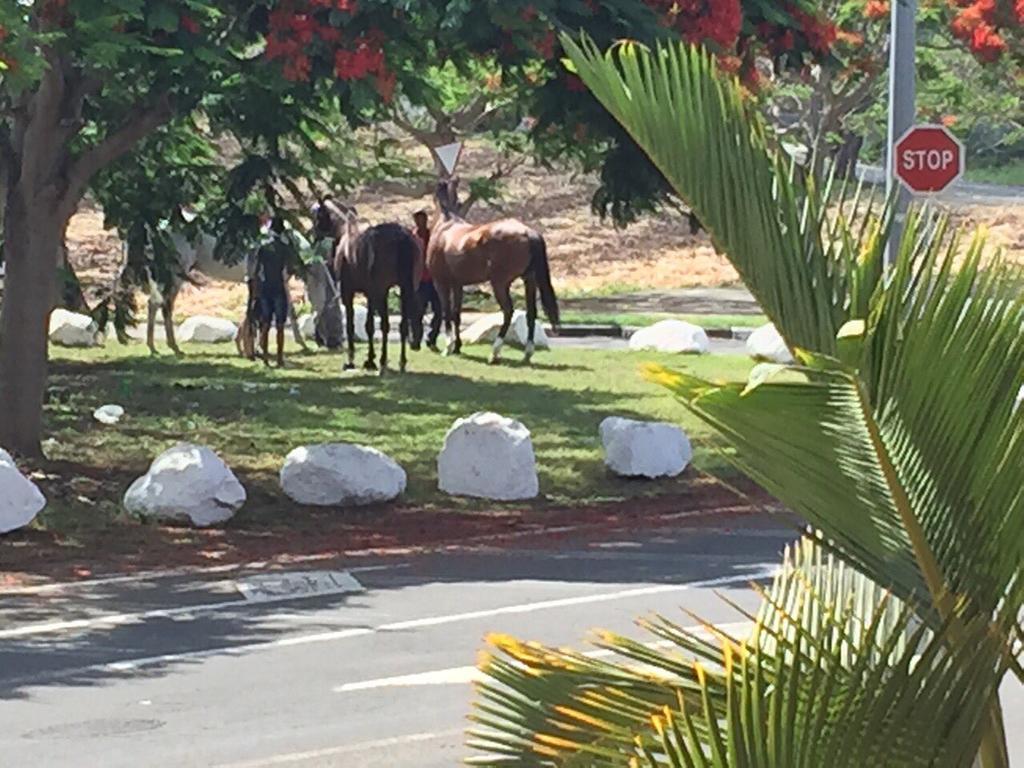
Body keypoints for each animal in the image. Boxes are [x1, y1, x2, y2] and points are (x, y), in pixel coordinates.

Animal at [313, 199, 421, 374]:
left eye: (318, 216)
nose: (314, 235)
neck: (345, 229)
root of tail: (402, 238)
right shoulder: (371, 293)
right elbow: (369, 326)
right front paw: (370, 359)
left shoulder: (348, 292)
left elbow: (351, 325)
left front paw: (352, 360)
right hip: (405, 289)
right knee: (402, 325)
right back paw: (401, 362)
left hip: (382, 290)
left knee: (385, 324)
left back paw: (383, 361)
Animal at [428, 179, 565, 364]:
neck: (445, 225)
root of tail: (528, 232)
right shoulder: (458, 284)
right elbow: (456, 313)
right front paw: (457, 347)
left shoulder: (441, 282)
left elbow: (446, 312)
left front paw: (449, 346)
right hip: (529, 280)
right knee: (531, 313)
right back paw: (527, 353)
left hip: (499, 283)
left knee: (508, 311)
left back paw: (495, 352)